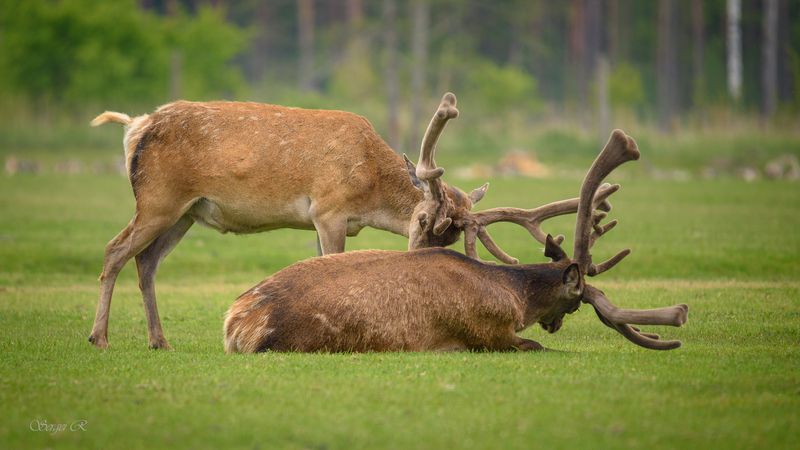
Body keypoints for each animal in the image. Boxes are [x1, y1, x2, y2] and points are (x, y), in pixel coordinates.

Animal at [88, 93, 560, 350]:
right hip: (158, 198)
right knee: (115, 250)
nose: (422, 266)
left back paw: (158, 340)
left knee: (146, 261)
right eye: (423, 218)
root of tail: (135, 127)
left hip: (185, 212)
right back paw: (100, 337)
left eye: (449, 239)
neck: (370, 184)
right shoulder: (328, 210)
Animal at [223, 129, 689, 353]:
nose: (555, 322)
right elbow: (537, 346)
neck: (514, 297)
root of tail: (236, 323)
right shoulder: (491, 332)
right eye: (575, 302)